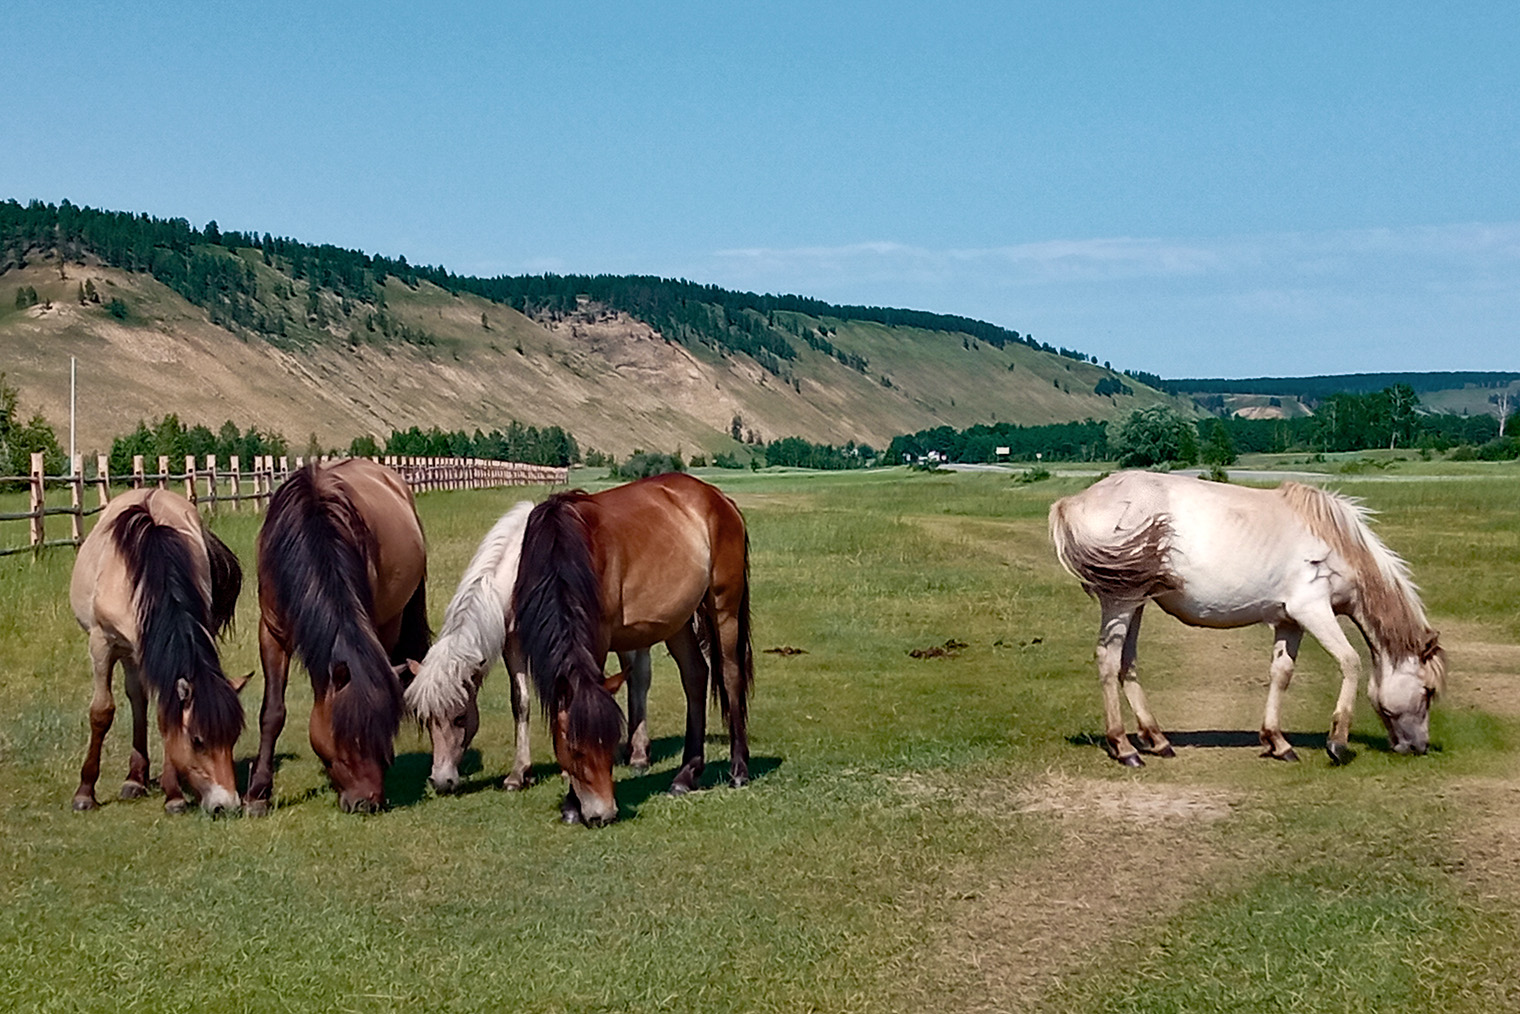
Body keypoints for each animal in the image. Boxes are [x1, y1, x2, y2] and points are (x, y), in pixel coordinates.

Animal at [68, 486, 246, 814]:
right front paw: (85, 792)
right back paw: (134, 779)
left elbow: (166, 715)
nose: (227, 805)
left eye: (233, 737)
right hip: (128, 652)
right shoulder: (101, 644)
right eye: (198, 740)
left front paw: (173, 794)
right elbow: (101, 712)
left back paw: (136, 777)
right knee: (136, 699)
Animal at [246, 462, 431, 814]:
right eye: (347, 736)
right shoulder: (271, 633)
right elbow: (272, 712)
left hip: (393, 619)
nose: (367, 802)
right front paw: (257, 793)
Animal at [404, 504, 653, 796]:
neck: (515, 569)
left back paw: (639, 754)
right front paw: (519, 774)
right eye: (426, 719)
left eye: (460, 717)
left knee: (639, 679)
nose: (441, 782)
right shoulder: (513, 644)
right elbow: (520, 702)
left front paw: (567, 770)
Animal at [513, 471, 750, 827]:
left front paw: (572, 805)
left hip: (724, 607)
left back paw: (739, 770)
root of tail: (719, 499)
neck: (561, 548)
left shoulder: (598, 636)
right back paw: (686, 775)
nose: (604, 814)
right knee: (696, 676)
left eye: (611, 743)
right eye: (575, 749)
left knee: (731, 675)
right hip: (677, 621)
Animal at [1051, 471, 1440, 766]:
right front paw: (1338, 744)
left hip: (1137, 603)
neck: (1335, 543)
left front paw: (1277, 742)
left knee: (1126, 663)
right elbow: (1350, 662)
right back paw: (1123, 747)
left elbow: (1281, 674)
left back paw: (1157, 740)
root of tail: (1073, 502)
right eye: (1428, 691)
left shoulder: (1289, 621)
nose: (1418, 747)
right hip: (1121, 601)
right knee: (1108, 660)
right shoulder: (1312, 610)